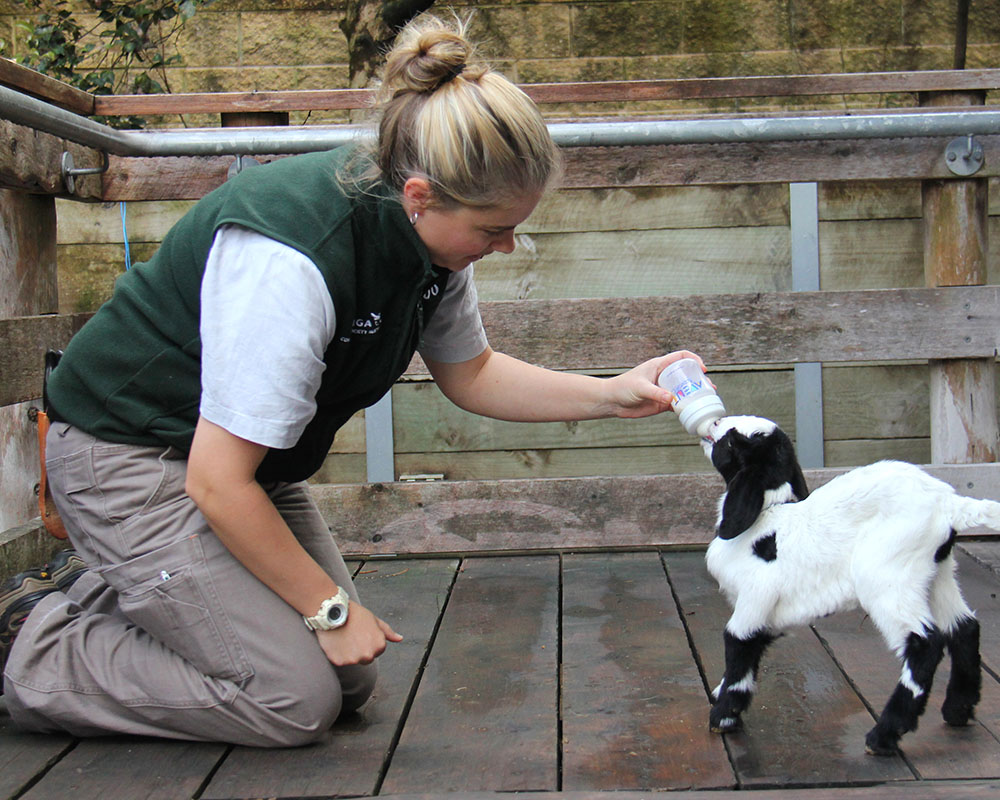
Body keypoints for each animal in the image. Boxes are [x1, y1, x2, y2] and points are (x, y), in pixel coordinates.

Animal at [700, 414, 996, 755]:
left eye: (733, 440)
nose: (716, 422)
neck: (766, 518)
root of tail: (949, 505)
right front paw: (722, 698)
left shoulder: (755, 599)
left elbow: (738, 649)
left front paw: (724, 716)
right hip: (937, 575)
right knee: (964, 627)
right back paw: (958, 709)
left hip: (886, 578)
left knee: (925, 644)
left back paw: (883, 736)